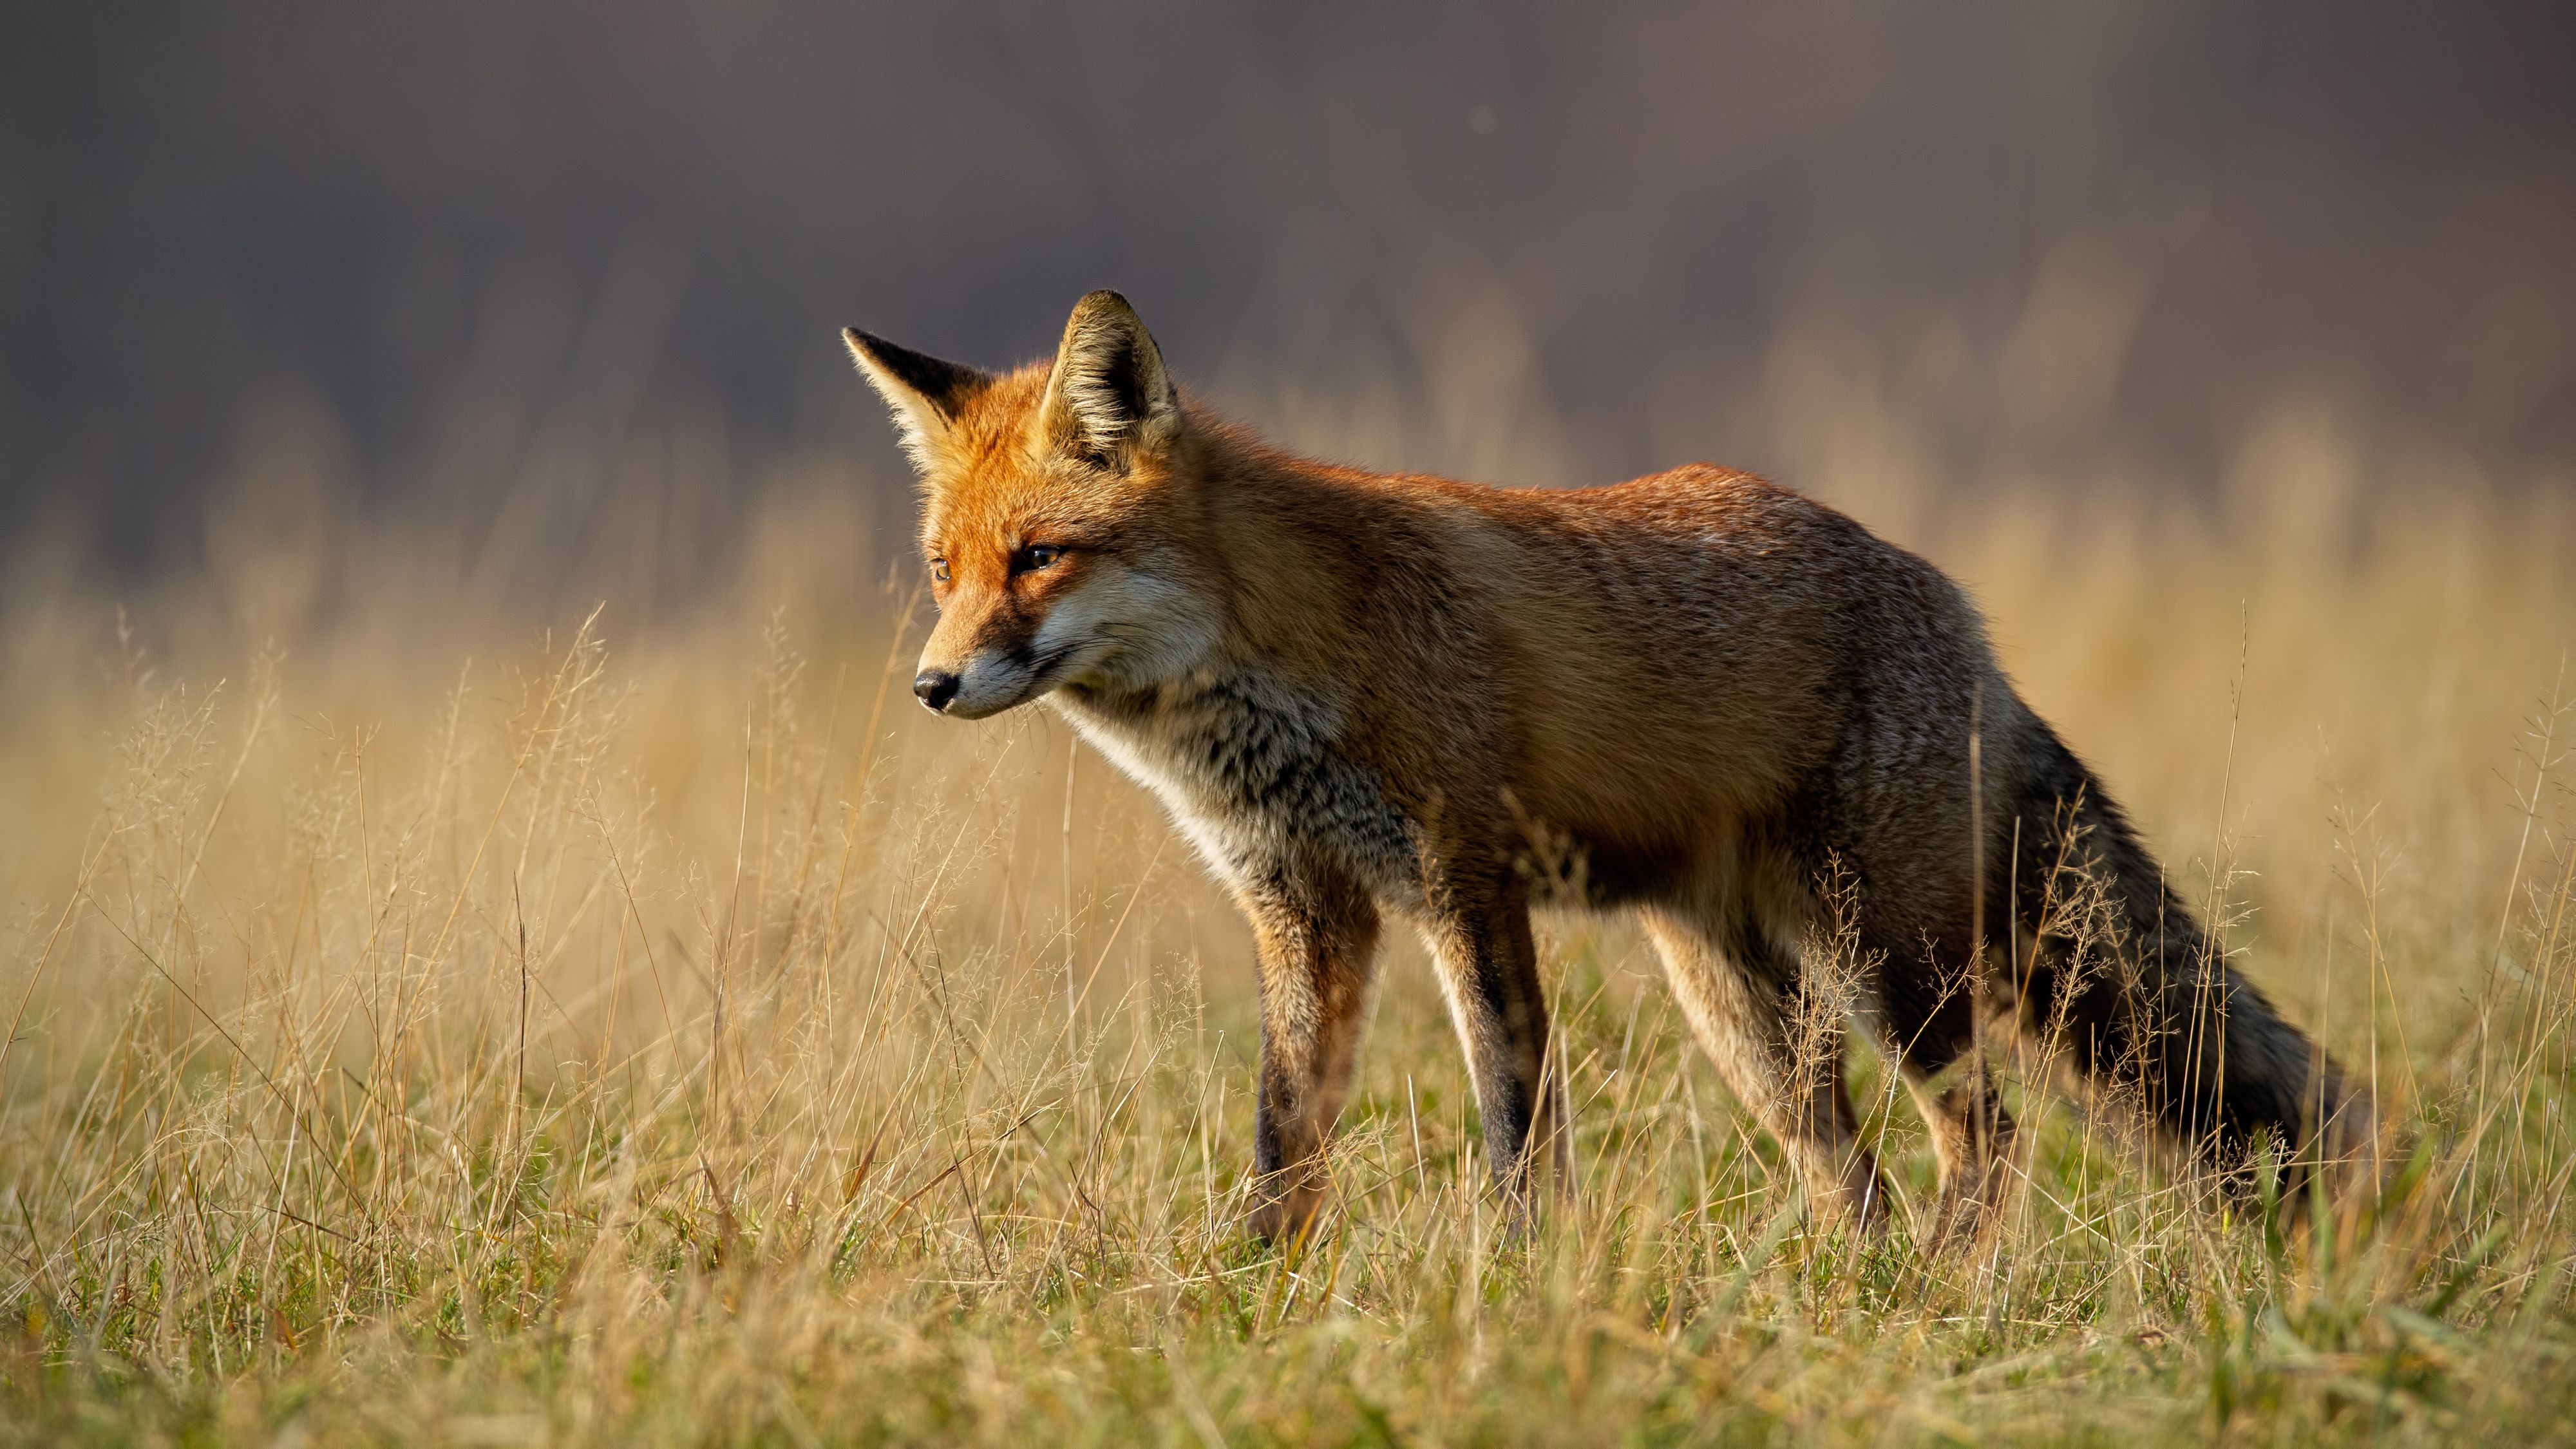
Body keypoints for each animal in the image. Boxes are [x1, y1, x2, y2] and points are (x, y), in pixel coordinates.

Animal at [843, 290, 2375, 1248]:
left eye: (1040, 557)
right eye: (944, 571)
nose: (930, 685)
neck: (1282, 660)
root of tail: (1953, 605)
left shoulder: (1462, 878)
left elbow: (1516, 1126)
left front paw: (1517, 1282)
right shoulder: (1305, 910)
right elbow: (1287, 1145)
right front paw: (1246, 1298)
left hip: (1888, 965)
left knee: (1986, 1137)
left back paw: (1936, 1300)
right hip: (1743, 1010)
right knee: (1859, 1177)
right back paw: (1851, 1311)